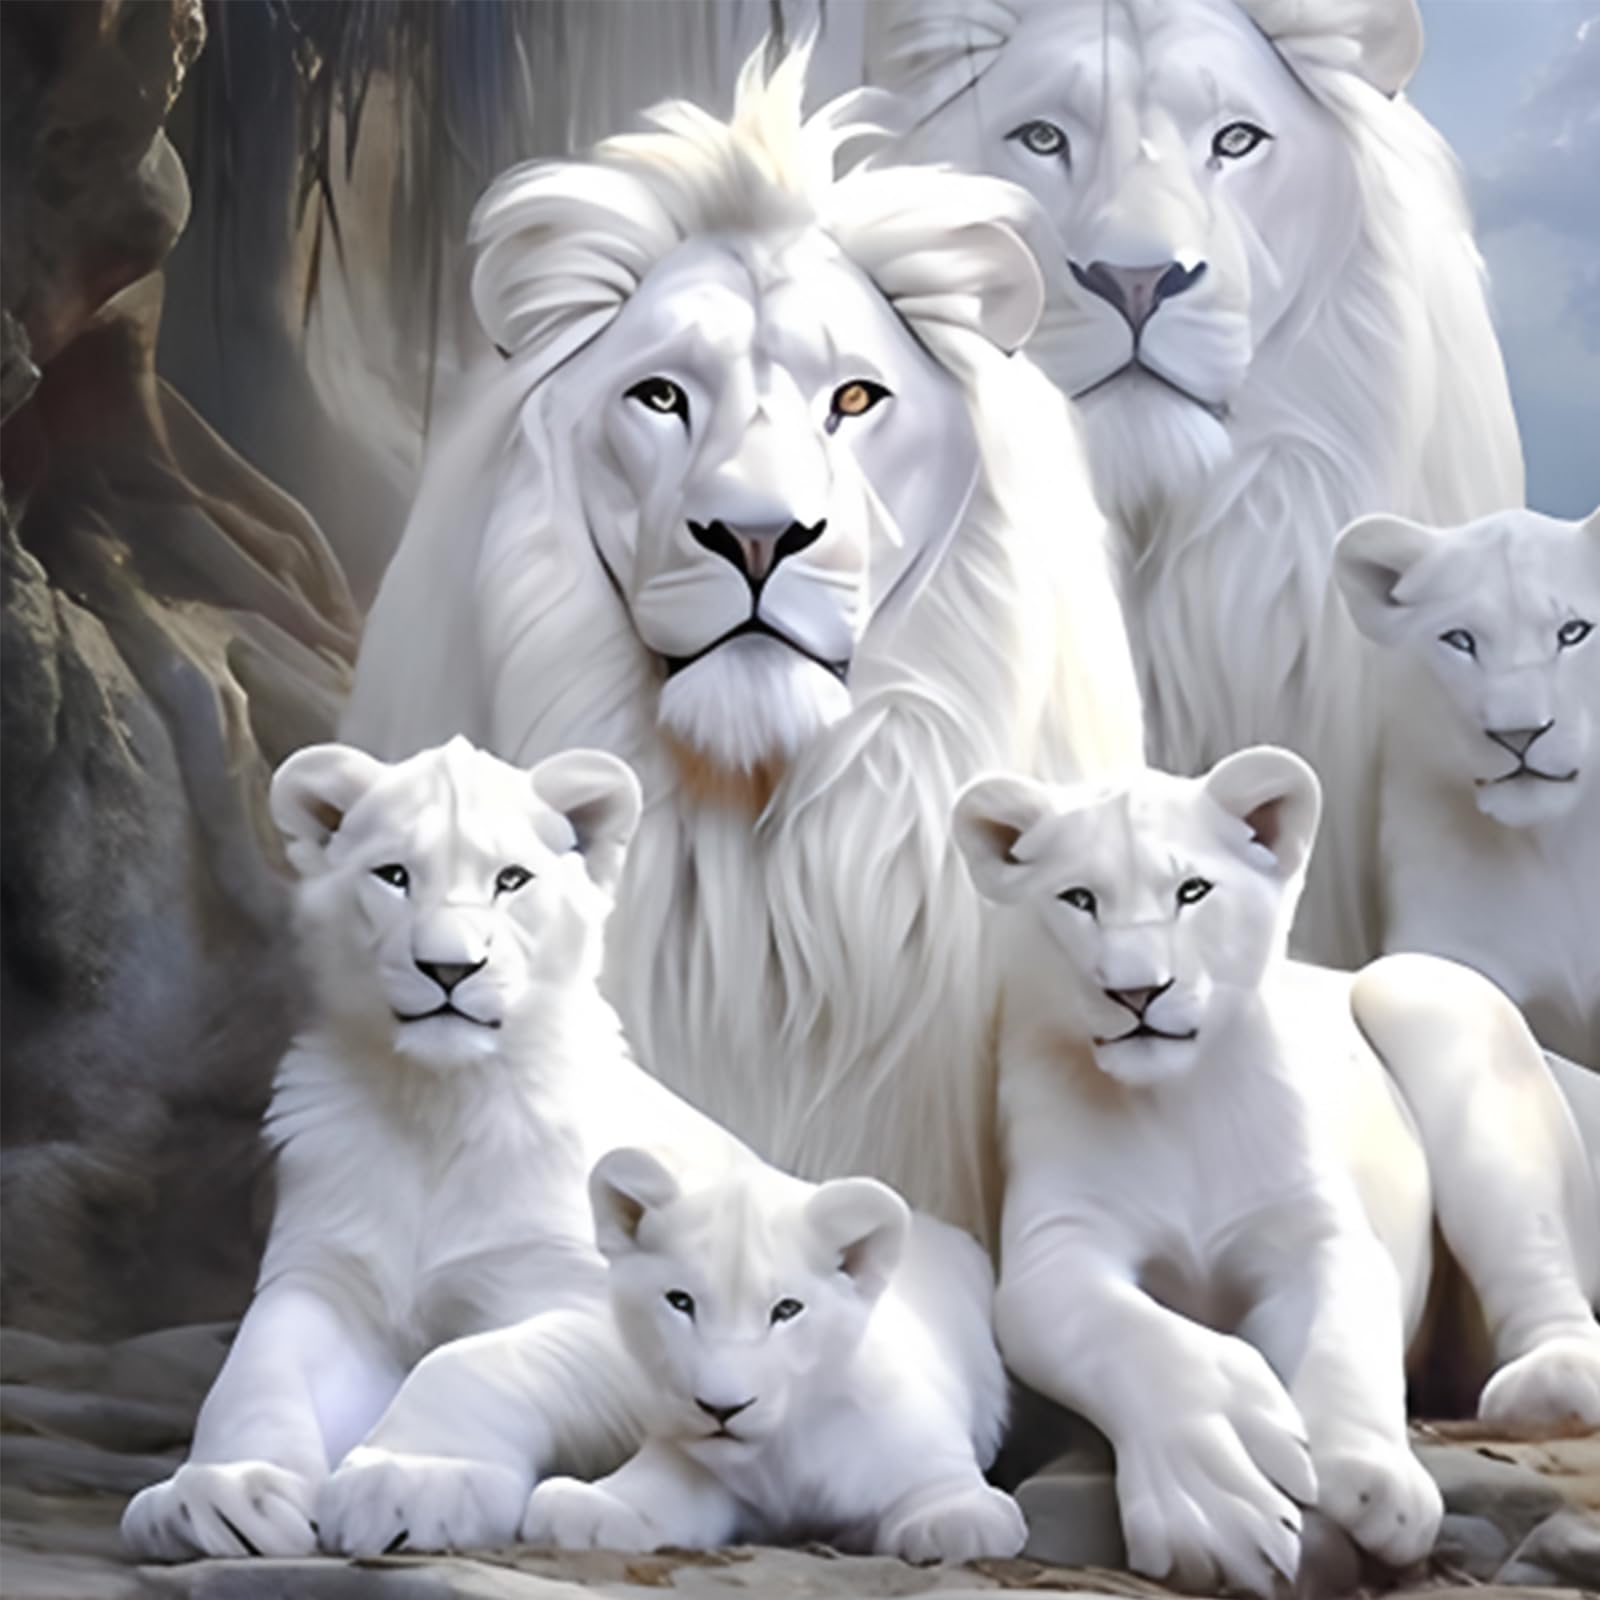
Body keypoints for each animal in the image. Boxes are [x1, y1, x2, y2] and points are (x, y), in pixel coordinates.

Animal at [522, 1145, 1025, 1562]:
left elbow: (948, 1496)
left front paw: (956, 1518)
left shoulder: (923, 1454)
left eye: (786, 1310)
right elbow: (645, 1492)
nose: (721, 1409)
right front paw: (591, 1505)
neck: (783, 1453)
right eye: (680, 1302)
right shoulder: (686, 1462)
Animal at [953, 747, 1600, 1594]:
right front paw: (1221, 1508)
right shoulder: (1055, 1249)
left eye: (1192, 891)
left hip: (1426, 996)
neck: (1177, 1106)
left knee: (1540, 1274)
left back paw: (1550, 1382)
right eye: (1079, 898)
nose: (1137, 990)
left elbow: (1343, 1339)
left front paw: (1374, 1483)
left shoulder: (1316, 1231)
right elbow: (1133, 1335)